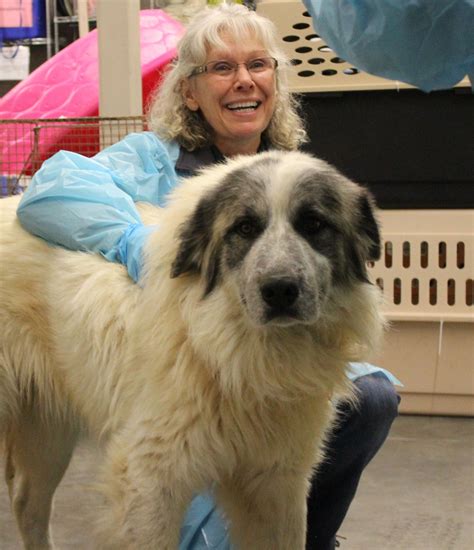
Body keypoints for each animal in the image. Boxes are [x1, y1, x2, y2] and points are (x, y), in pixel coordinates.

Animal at [0, 152, 384, 550]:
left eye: (313, 223)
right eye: (245, 228)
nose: (279, 289)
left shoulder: (276, 482)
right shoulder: (150, 479)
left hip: (48, 427)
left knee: (27, 501)